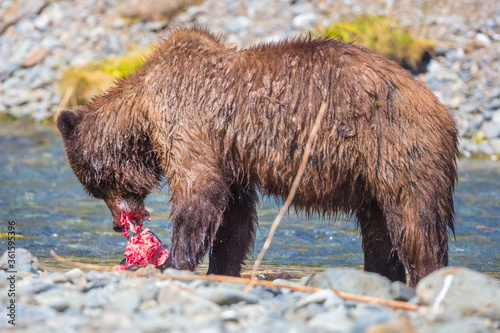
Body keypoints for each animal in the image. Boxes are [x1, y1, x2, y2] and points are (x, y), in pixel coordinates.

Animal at [57, 26, 458, 286]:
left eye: (96, 185)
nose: (116, 224)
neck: (141, 110)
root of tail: (440, 108)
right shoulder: (231, 155)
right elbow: (233, 216)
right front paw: (221, 266)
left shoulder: (188, 122)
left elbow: (198, 193)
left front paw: (175, 261)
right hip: (372, 175)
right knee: (378, 232)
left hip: (397, 147)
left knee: (415, 223)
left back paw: (425, 274)